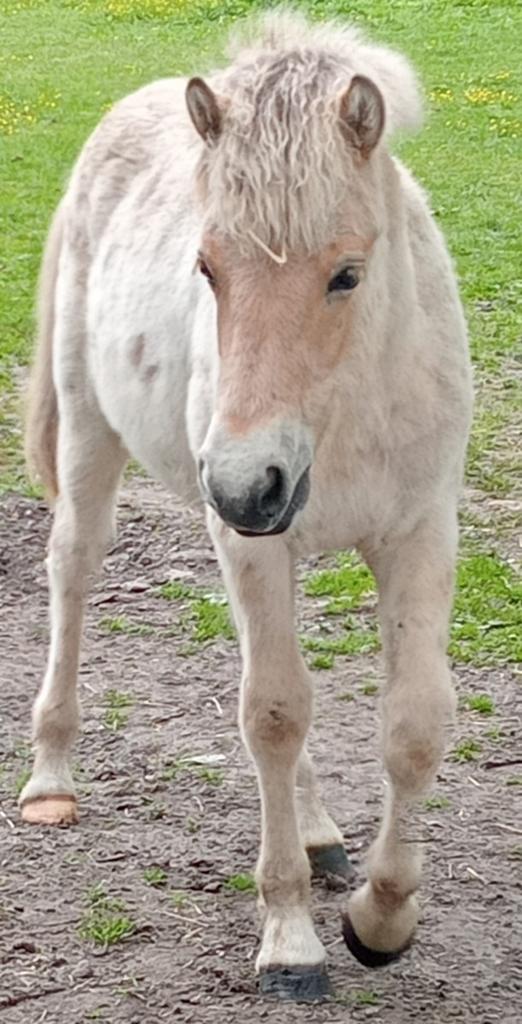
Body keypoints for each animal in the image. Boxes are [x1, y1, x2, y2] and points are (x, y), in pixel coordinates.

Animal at [21, 9, 473, 1002]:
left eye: (347, 273)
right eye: (206, 267)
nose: (241, 482)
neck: (350, 413)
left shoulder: (419, 531)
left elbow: (414, 722)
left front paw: (382, 919)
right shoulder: (254, 539)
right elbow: (271, 713)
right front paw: (292, 939)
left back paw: (324, 835)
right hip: (94, 435)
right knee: (72, 570)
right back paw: (50, 777)